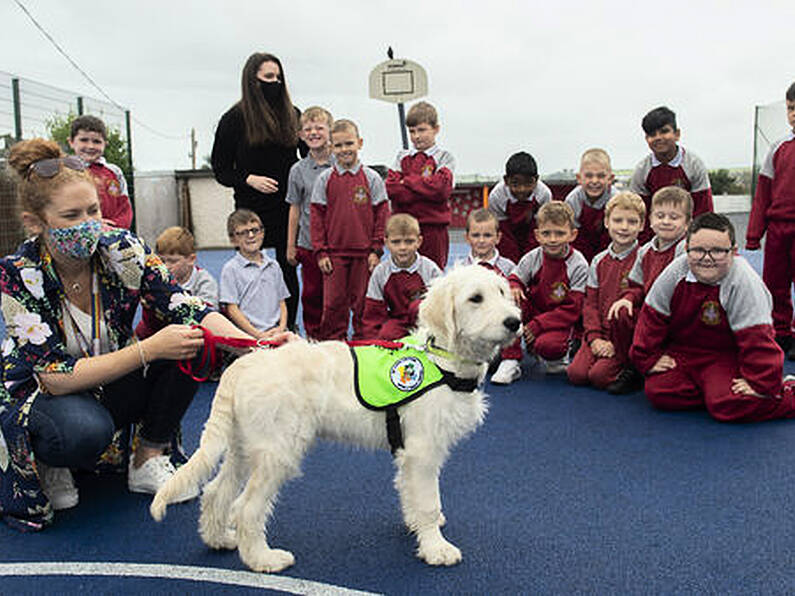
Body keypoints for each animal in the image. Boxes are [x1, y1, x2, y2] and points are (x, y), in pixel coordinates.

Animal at [149, 266, 524, 572]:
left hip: (244, 446)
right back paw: (263, 559)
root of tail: (245, 364)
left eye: (502, 292)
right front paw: (436, 549)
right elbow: (429, 502)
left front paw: (415, 525)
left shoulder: (408, 452)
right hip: (277, 451)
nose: (514, 322)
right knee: (246, 507)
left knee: (215, 491)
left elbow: (411, 493)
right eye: (475, 298)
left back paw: (219, 539)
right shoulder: (423, 451)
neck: (441, 358)